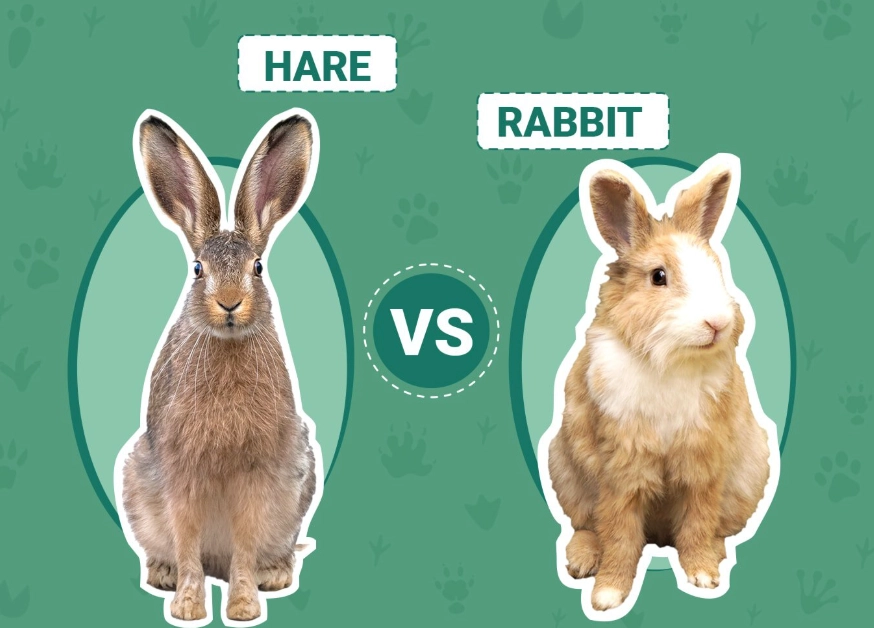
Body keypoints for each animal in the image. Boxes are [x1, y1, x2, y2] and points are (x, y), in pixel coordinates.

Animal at [119, 109, 320, 623]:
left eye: (258, 268)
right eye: (197, 270)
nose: (230, 303)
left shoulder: (257, 475)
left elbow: (245, 546)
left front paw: (245, 607)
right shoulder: (180, 472)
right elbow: (186, 539)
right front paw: (188, 608)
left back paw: (275, 575)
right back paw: (163, 575)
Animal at [547, 157, 773, 613]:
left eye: (717, 271)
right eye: (658, 277)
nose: (717, 323)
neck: (670, 359)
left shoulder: (703, 460)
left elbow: (698, 520)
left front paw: (703, 575)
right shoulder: (621, 464)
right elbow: (619, 531)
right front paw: (607, 596)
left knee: (717, 528)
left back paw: (716, 557)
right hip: (566, 472)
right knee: (587, 526)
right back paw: (581, 562)